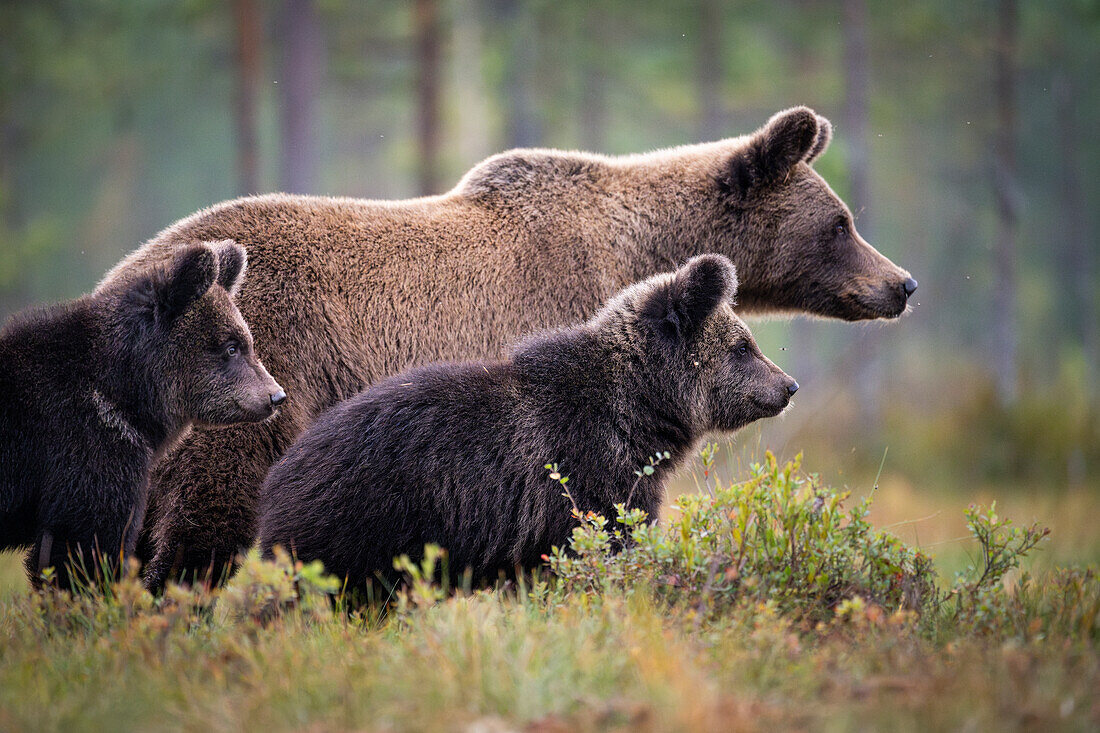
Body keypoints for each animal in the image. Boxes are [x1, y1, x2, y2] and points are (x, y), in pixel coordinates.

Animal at [103, 107, 915, 589]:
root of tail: (121, 274)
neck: (636, 247)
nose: (902, 283)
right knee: (205, 525)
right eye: (841, 222)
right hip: (251, 385)